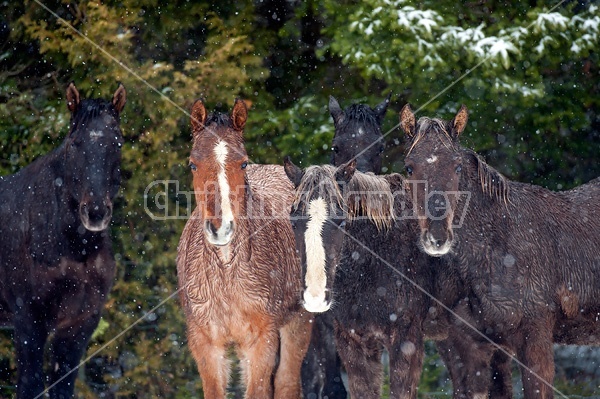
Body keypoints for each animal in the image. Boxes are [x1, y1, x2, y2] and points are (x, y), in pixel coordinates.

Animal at [0, 82, 125, 399]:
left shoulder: (78, 326)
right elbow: (30, 386)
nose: (95, 212)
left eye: (117, 143)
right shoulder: (29, 323)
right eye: (75, 143)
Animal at [176, 98, 312, 398]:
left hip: (299, 320)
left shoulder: (261, 341)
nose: (221, 228)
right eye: (192, 164)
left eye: (243, 163)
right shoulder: (205, 343)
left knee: (287, 382)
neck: (226, 270)